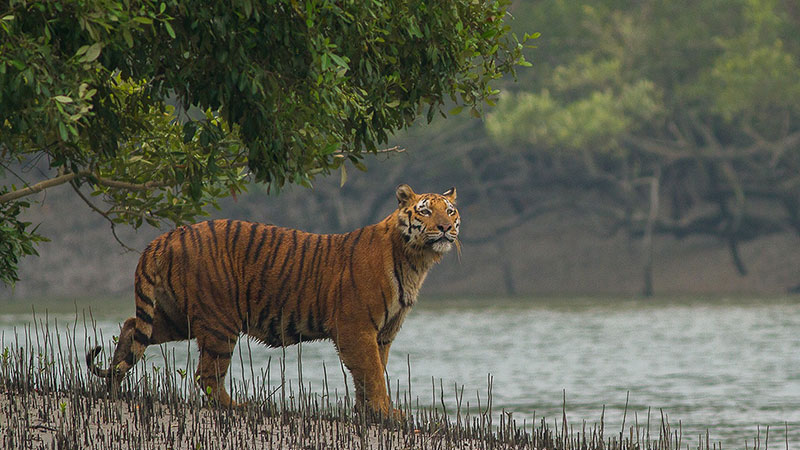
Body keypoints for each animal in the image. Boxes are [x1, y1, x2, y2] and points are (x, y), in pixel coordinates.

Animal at [84, 185, 460, 416]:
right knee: (207, 375)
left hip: (177, 317)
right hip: (219, 321)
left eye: (451, 211)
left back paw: (112, 388)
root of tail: (166, 236)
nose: (445, 228)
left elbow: (373, 373)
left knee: (131, 327)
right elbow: (372, 374)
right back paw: (238, 407)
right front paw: (386, 414)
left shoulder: (383, 333)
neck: (415, 260)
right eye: (425, 212)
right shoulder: (356, 328)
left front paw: (371, 413)